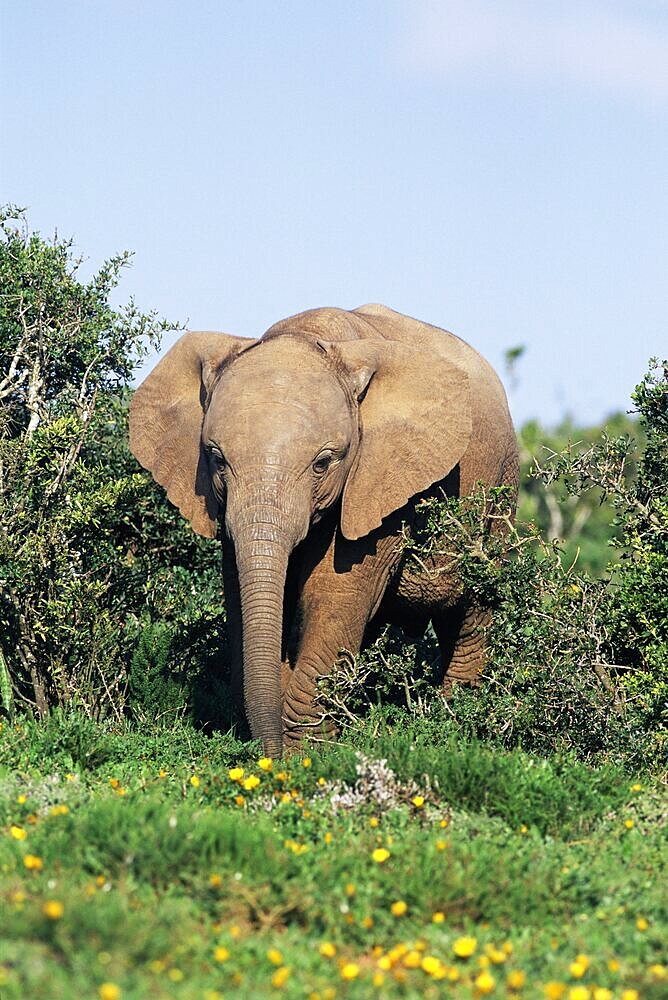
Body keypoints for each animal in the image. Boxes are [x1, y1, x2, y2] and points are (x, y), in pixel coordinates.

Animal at [128, 304, 520, 756]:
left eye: (323, 463)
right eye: (216, 459)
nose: (269, 758)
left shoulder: (379, 478)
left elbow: (335, 596)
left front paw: (306, 756)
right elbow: (245, 595)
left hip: (501, 489)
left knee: (471, 614)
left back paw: (456, 724)